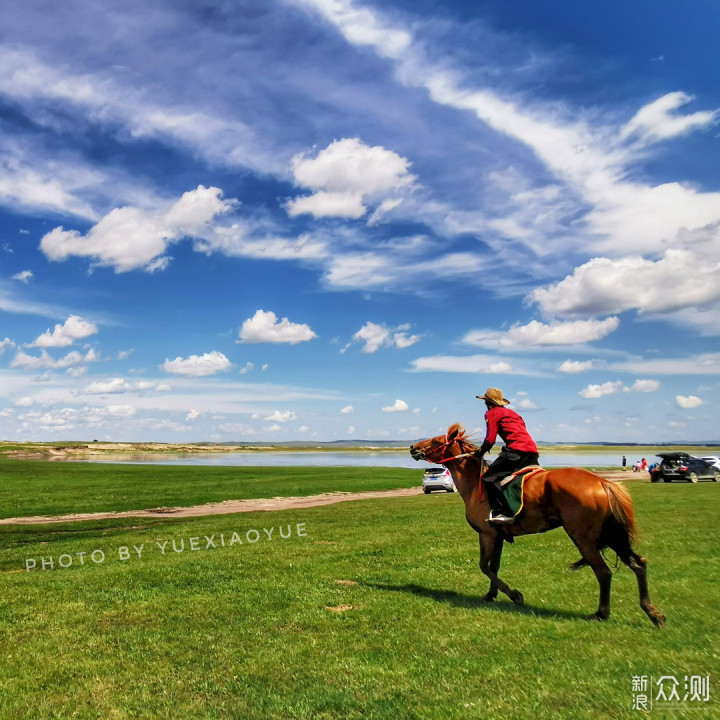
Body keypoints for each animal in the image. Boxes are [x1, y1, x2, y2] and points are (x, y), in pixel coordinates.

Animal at [410, 422, 664, 624]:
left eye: (436, 440)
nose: (413, 448)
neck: (476, 484)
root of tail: (601, 482)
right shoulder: (498, 536)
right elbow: (494, 567)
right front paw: (492, 595)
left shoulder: (487, 534)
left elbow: (484, 566)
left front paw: (514, 595)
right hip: (610, 535)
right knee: (638, 563)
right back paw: (652, 613)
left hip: (584, 538)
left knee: (603, 572)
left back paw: (601, 613)